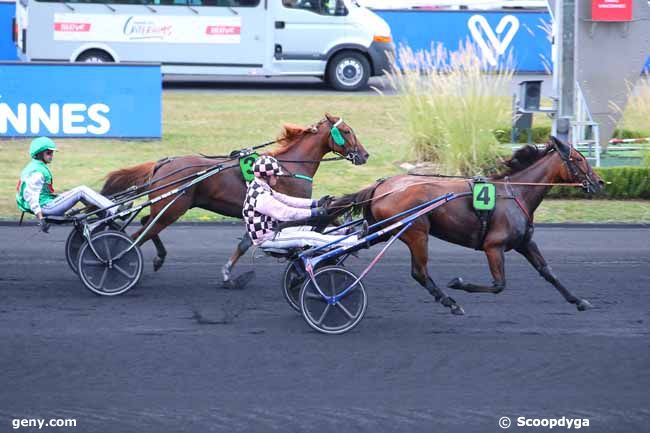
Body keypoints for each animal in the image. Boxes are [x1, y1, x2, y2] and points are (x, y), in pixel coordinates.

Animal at [99, 113, 368, 286]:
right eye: (346, 131)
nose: (364, 155)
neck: (289, 166)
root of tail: (163, 162)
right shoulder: (282, 210)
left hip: (166, 208)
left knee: (147, 222)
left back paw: (157, 257)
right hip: (173, 209)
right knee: (139, 234)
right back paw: (120, 261)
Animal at [332, 136, 604, 314]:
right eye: (578, 159)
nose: (599, 182)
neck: (517, 192)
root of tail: (381, 186)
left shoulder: (525, 242)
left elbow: (548, 272)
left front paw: (578, 300)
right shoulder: (493, 246)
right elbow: (499, 285)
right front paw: (458, 283)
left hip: (384, 229)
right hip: (417, 232)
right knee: (419, 272)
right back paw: (450, 301)